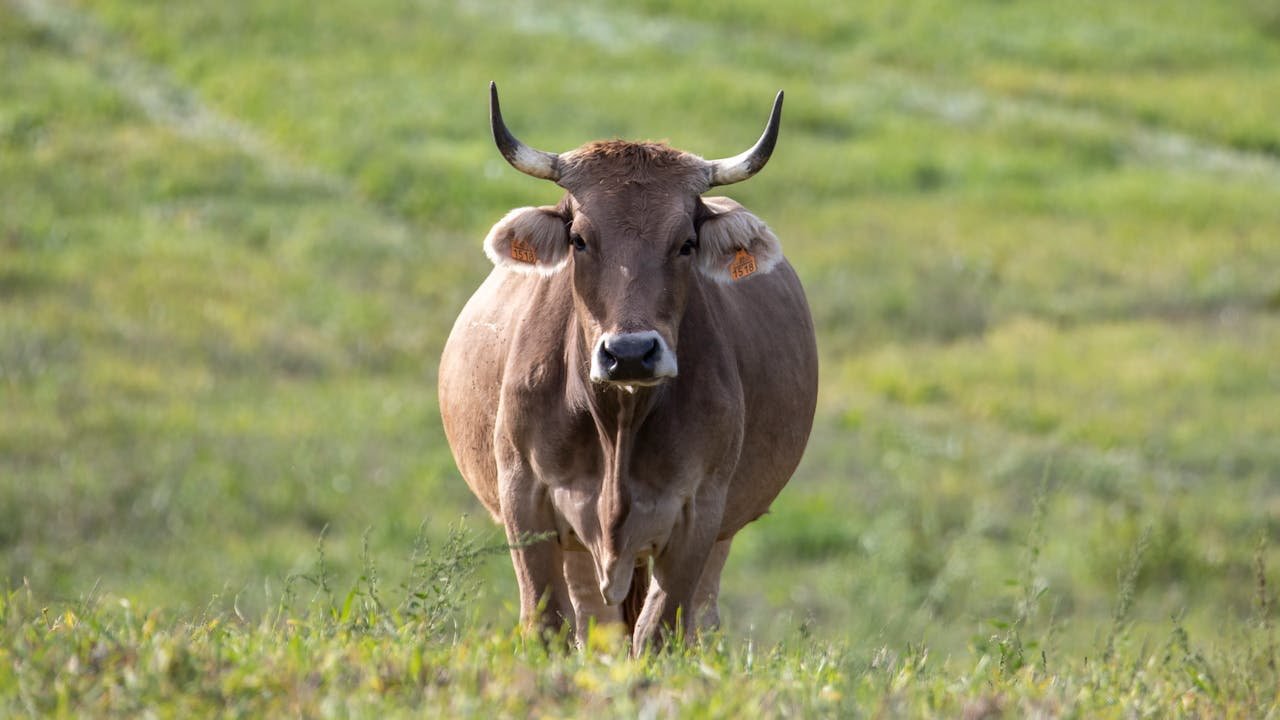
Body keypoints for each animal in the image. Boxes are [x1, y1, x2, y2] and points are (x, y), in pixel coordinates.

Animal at [438, 82, 818, 651]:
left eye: (685, 243)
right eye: (579, 239)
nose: (632, 352)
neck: (618, 422)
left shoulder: (699, 513)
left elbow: (658, 632)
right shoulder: (525, 500)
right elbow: (547, 624)